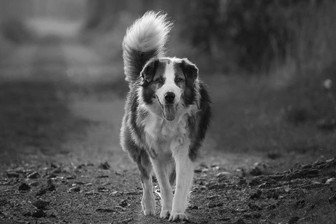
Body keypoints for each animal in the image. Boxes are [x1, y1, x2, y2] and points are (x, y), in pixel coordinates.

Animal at [120, 11, 210, 221]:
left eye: (179, 80)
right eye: (159, 80)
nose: (170, 96)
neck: (166, 121)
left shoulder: (185, 148)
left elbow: (180, 183)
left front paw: (177, 212)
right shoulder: (154, 151)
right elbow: (163, 184)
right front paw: (167, 209)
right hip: (137, 147)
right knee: (145, 178)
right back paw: (149, 205)